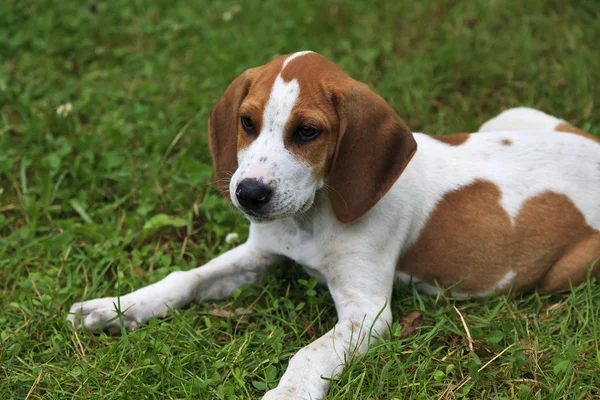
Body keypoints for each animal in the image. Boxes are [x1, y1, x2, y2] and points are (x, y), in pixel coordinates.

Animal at [67, 51, 600, 398]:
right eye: (246, 122)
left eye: (307, 131)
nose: (249, 193)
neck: (312, 217)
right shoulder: (260, 254)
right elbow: (186, 278)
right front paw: (117, 307)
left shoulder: (367, 314)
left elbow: (308, 354)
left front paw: (285, 395)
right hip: (511, 116)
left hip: (570, 270)